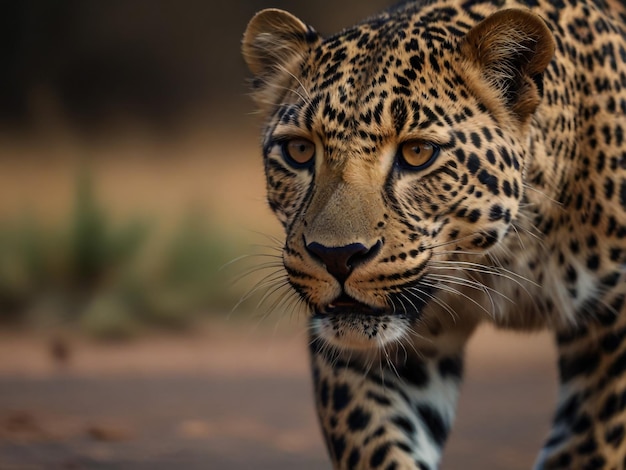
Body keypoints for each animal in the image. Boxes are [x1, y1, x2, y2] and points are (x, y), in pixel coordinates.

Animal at [241, 0, 624, 468]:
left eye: (417, 153)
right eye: (299, 150)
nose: (336, 256)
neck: (504, 258)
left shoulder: (612, 331)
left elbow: (587, 448)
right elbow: (374, 445)